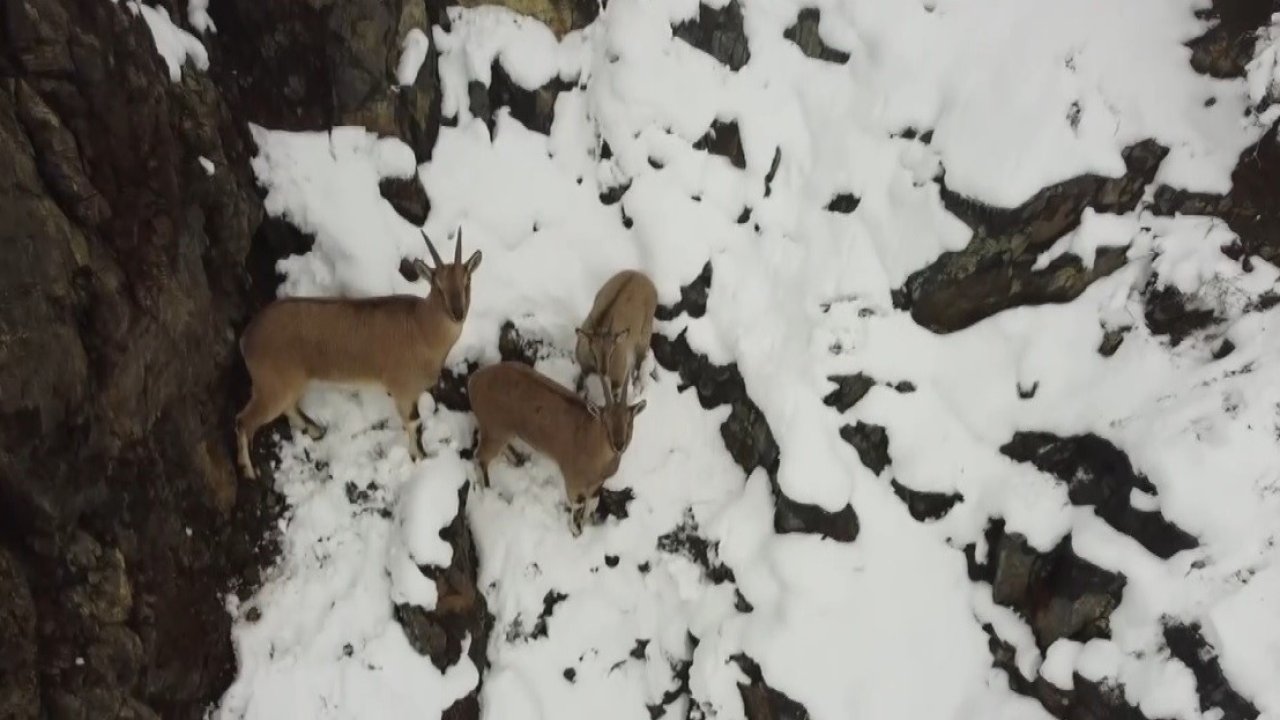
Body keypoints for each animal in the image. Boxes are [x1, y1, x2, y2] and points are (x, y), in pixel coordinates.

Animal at [235, 229, 481, 476]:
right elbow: (414, 423)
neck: (421, 326)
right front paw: (420, 457)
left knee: (288, 407)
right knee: (243, 421)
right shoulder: (403, 390)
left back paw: (316, 429)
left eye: (467, 280)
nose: (457, 313)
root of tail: (248, 337)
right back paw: (250, 472)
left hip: (289, 384)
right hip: (271, 387)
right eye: (437, 285)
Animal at [468, 340, 645, 532]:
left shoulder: (596, 485)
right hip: (494, 430)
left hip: (503, 432)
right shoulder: (574, 481)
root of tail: (474, 381)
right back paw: (488, 490)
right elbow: (578, 508)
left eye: (629, 421)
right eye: (605, 420)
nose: (619, 444)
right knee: (480, 457)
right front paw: (576, 533)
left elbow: (592, 505)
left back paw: (517, 459)